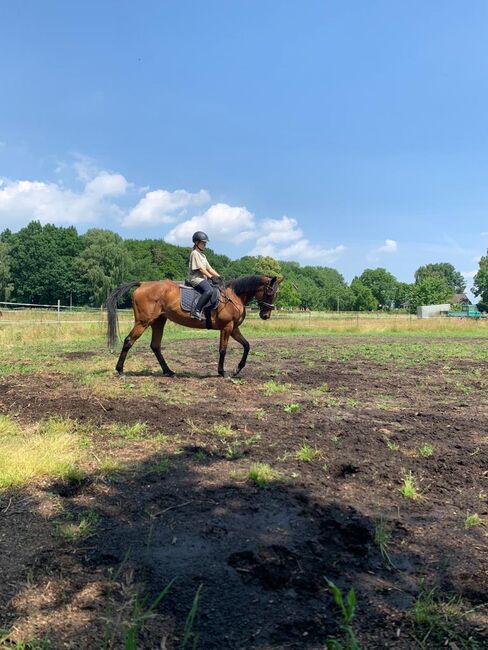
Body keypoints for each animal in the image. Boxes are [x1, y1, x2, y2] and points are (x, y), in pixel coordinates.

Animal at [107, 276, 282, 378]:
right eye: (270, 293)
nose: (265, 315)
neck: (233, 297)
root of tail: (143, 284)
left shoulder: (233, 329)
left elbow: (247, 345)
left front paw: (237, 369)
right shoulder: (226, 327)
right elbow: (223, 350)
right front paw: (222, 372)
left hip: (159, 321)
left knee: (155, 345)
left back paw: (168, 371)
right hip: (143, 322)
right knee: (129, 341)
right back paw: (120, 370)